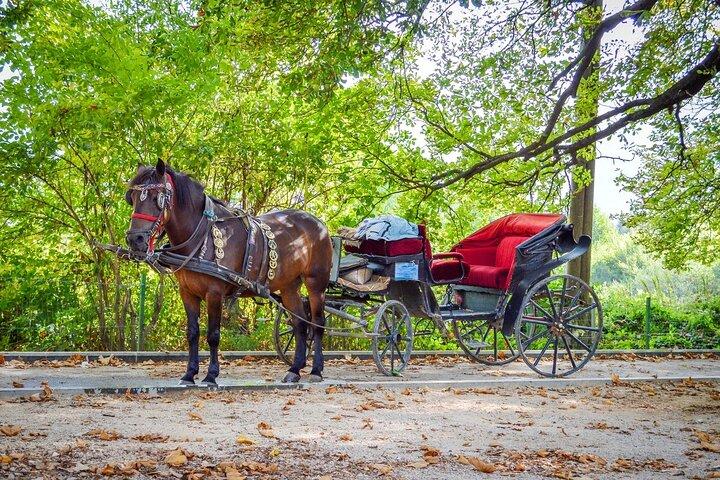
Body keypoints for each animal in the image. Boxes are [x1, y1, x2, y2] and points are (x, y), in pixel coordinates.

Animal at [124, 159, 333, 385]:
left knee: (317, 322)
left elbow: (213, 335)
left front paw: (211, 375)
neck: (201, 235)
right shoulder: (187, 292)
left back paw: (316, 370)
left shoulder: (214, 293)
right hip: (289, 286)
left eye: (157, 198)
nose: (135, 239)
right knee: (299, 324)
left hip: (316, 282)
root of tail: (319, 223)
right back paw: (294, 369)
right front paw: (189, 374)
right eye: (132, 198)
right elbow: (192, 333)